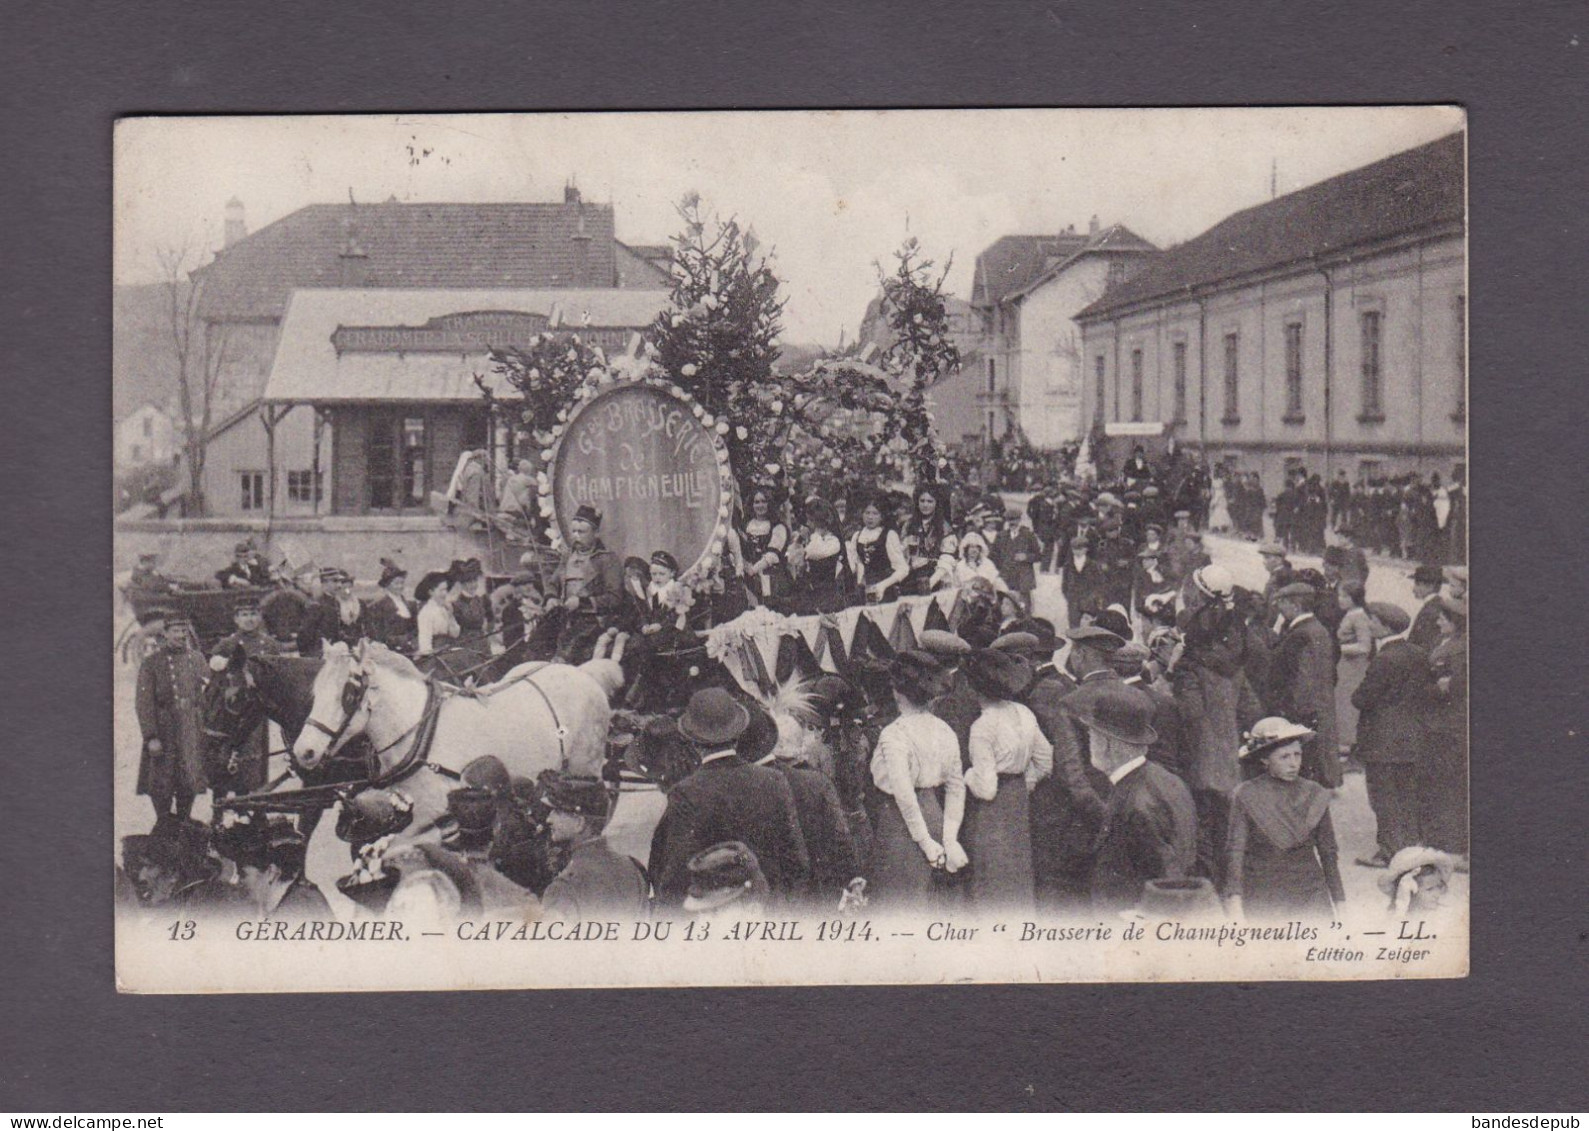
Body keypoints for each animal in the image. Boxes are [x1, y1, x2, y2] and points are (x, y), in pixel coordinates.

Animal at [292, 644, 619, 832]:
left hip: (584, 769)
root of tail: (582, 673)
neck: (419, 734)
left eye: (349, 695)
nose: (304, 751)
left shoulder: (434, 811)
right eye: (315, 692)